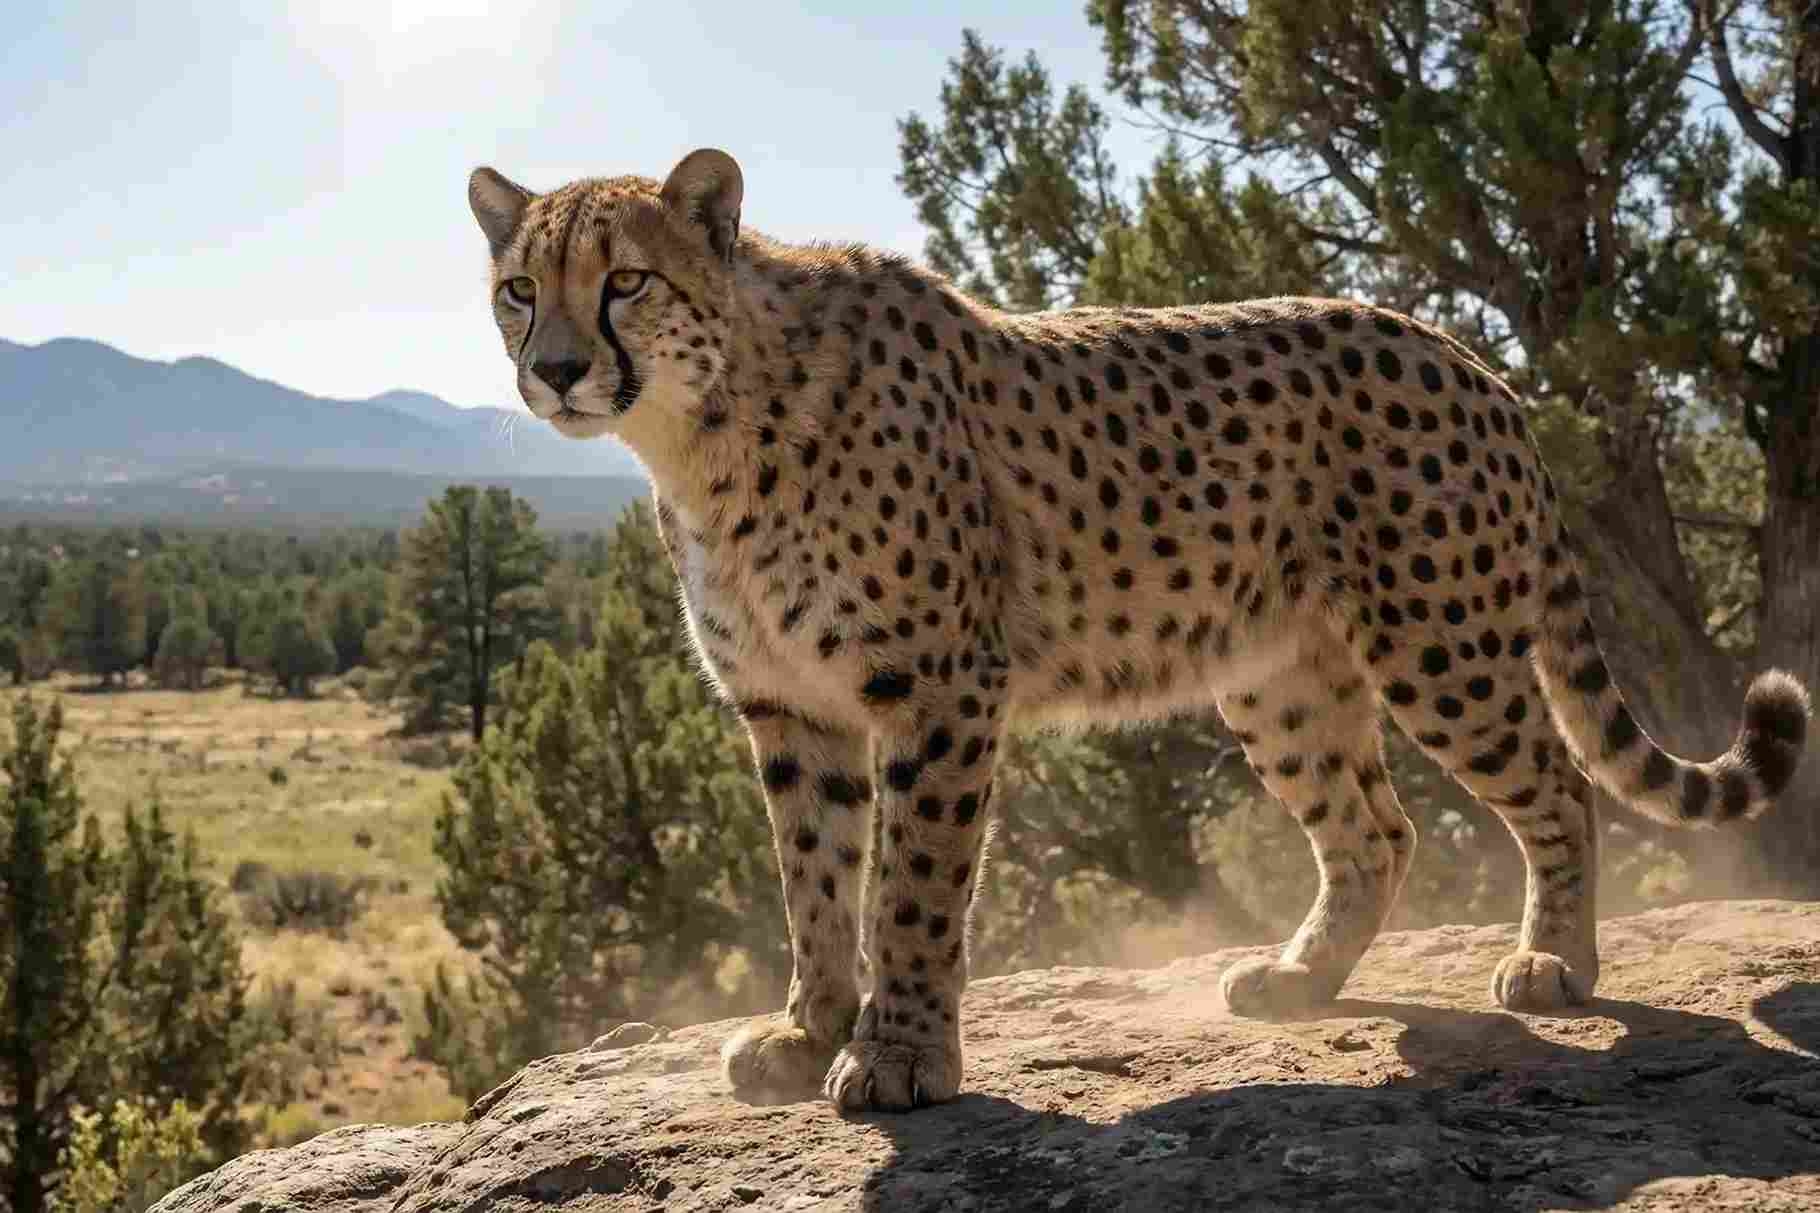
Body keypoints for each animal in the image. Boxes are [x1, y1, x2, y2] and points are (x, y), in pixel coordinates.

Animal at [463, 147, 1811, 1114]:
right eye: (520, 289)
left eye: (625, 280)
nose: (559, 369)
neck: (703, 429)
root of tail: (1464, 352)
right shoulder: (790, 707)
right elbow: (813, 879)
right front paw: (809, 1030)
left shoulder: (936, 689)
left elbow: (911, 887)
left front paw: (899, 1055)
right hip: (1277, 675)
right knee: (1374, 829)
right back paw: (1299, 977)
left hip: (1439, 643)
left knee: (1554, 786)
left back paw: (1554, 963)